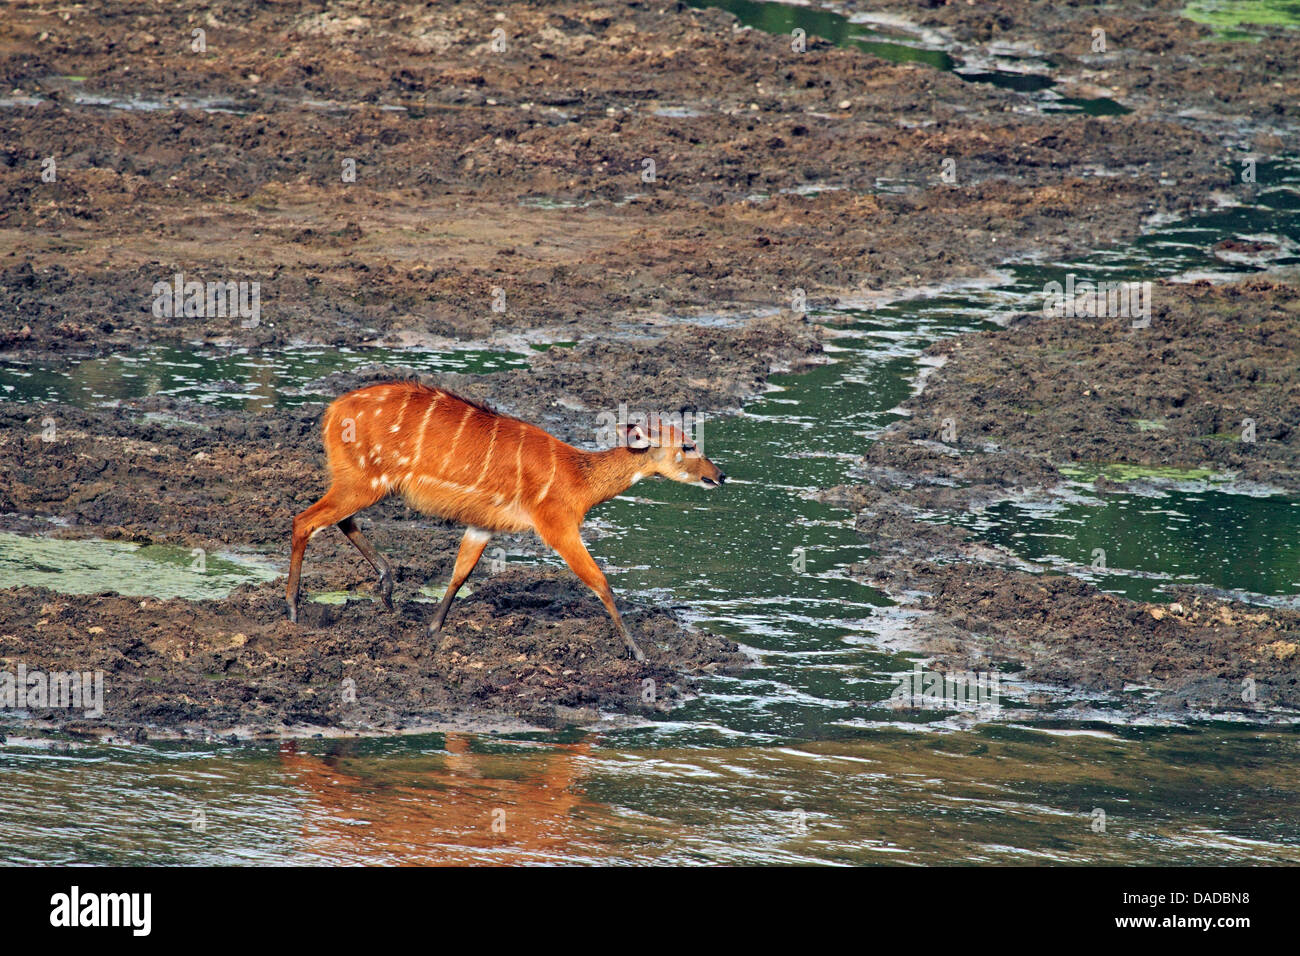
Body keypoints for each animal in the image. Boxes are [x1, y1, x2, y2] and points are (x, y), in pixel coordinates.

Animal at [286, 382, 728, 658]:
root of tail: (332, 411)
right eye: (688, 445)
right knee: (304, 519)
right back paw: (292, 609)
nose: (720, 475)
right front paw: (638, 652)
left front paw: (432, 630)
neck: (576, 478)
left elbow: (460, 574)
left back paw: (387, 586)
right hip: (363, 480)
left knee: (338, 520)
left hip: (362, 482)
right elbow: (600, 581)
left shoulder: (483, 524)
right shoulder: (557, 524)